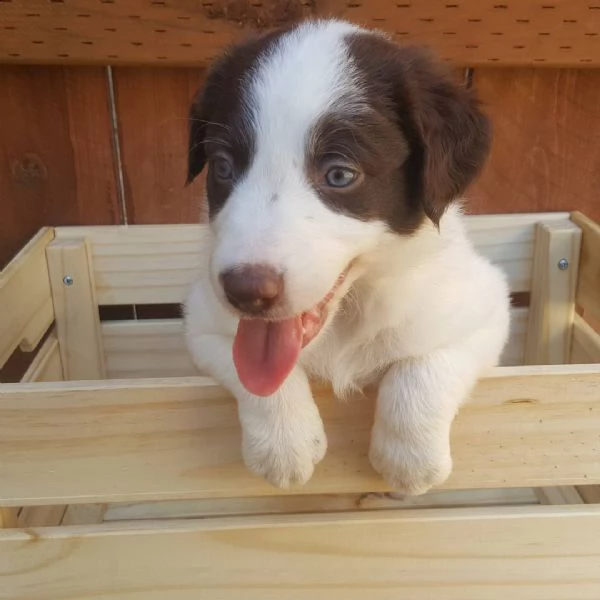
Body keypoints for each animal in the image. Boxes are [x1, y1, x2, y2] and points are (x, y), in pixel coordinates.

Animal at [184, 19, 510, 496]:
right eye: (223, 167)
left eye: (339, 174)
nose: (244, 293)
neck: (347, 315)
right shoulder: (202, 322)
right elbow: (249, 370)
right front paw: (284, 445)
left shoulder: (485, 310)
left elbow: (423, 365)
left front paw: (410, 461)